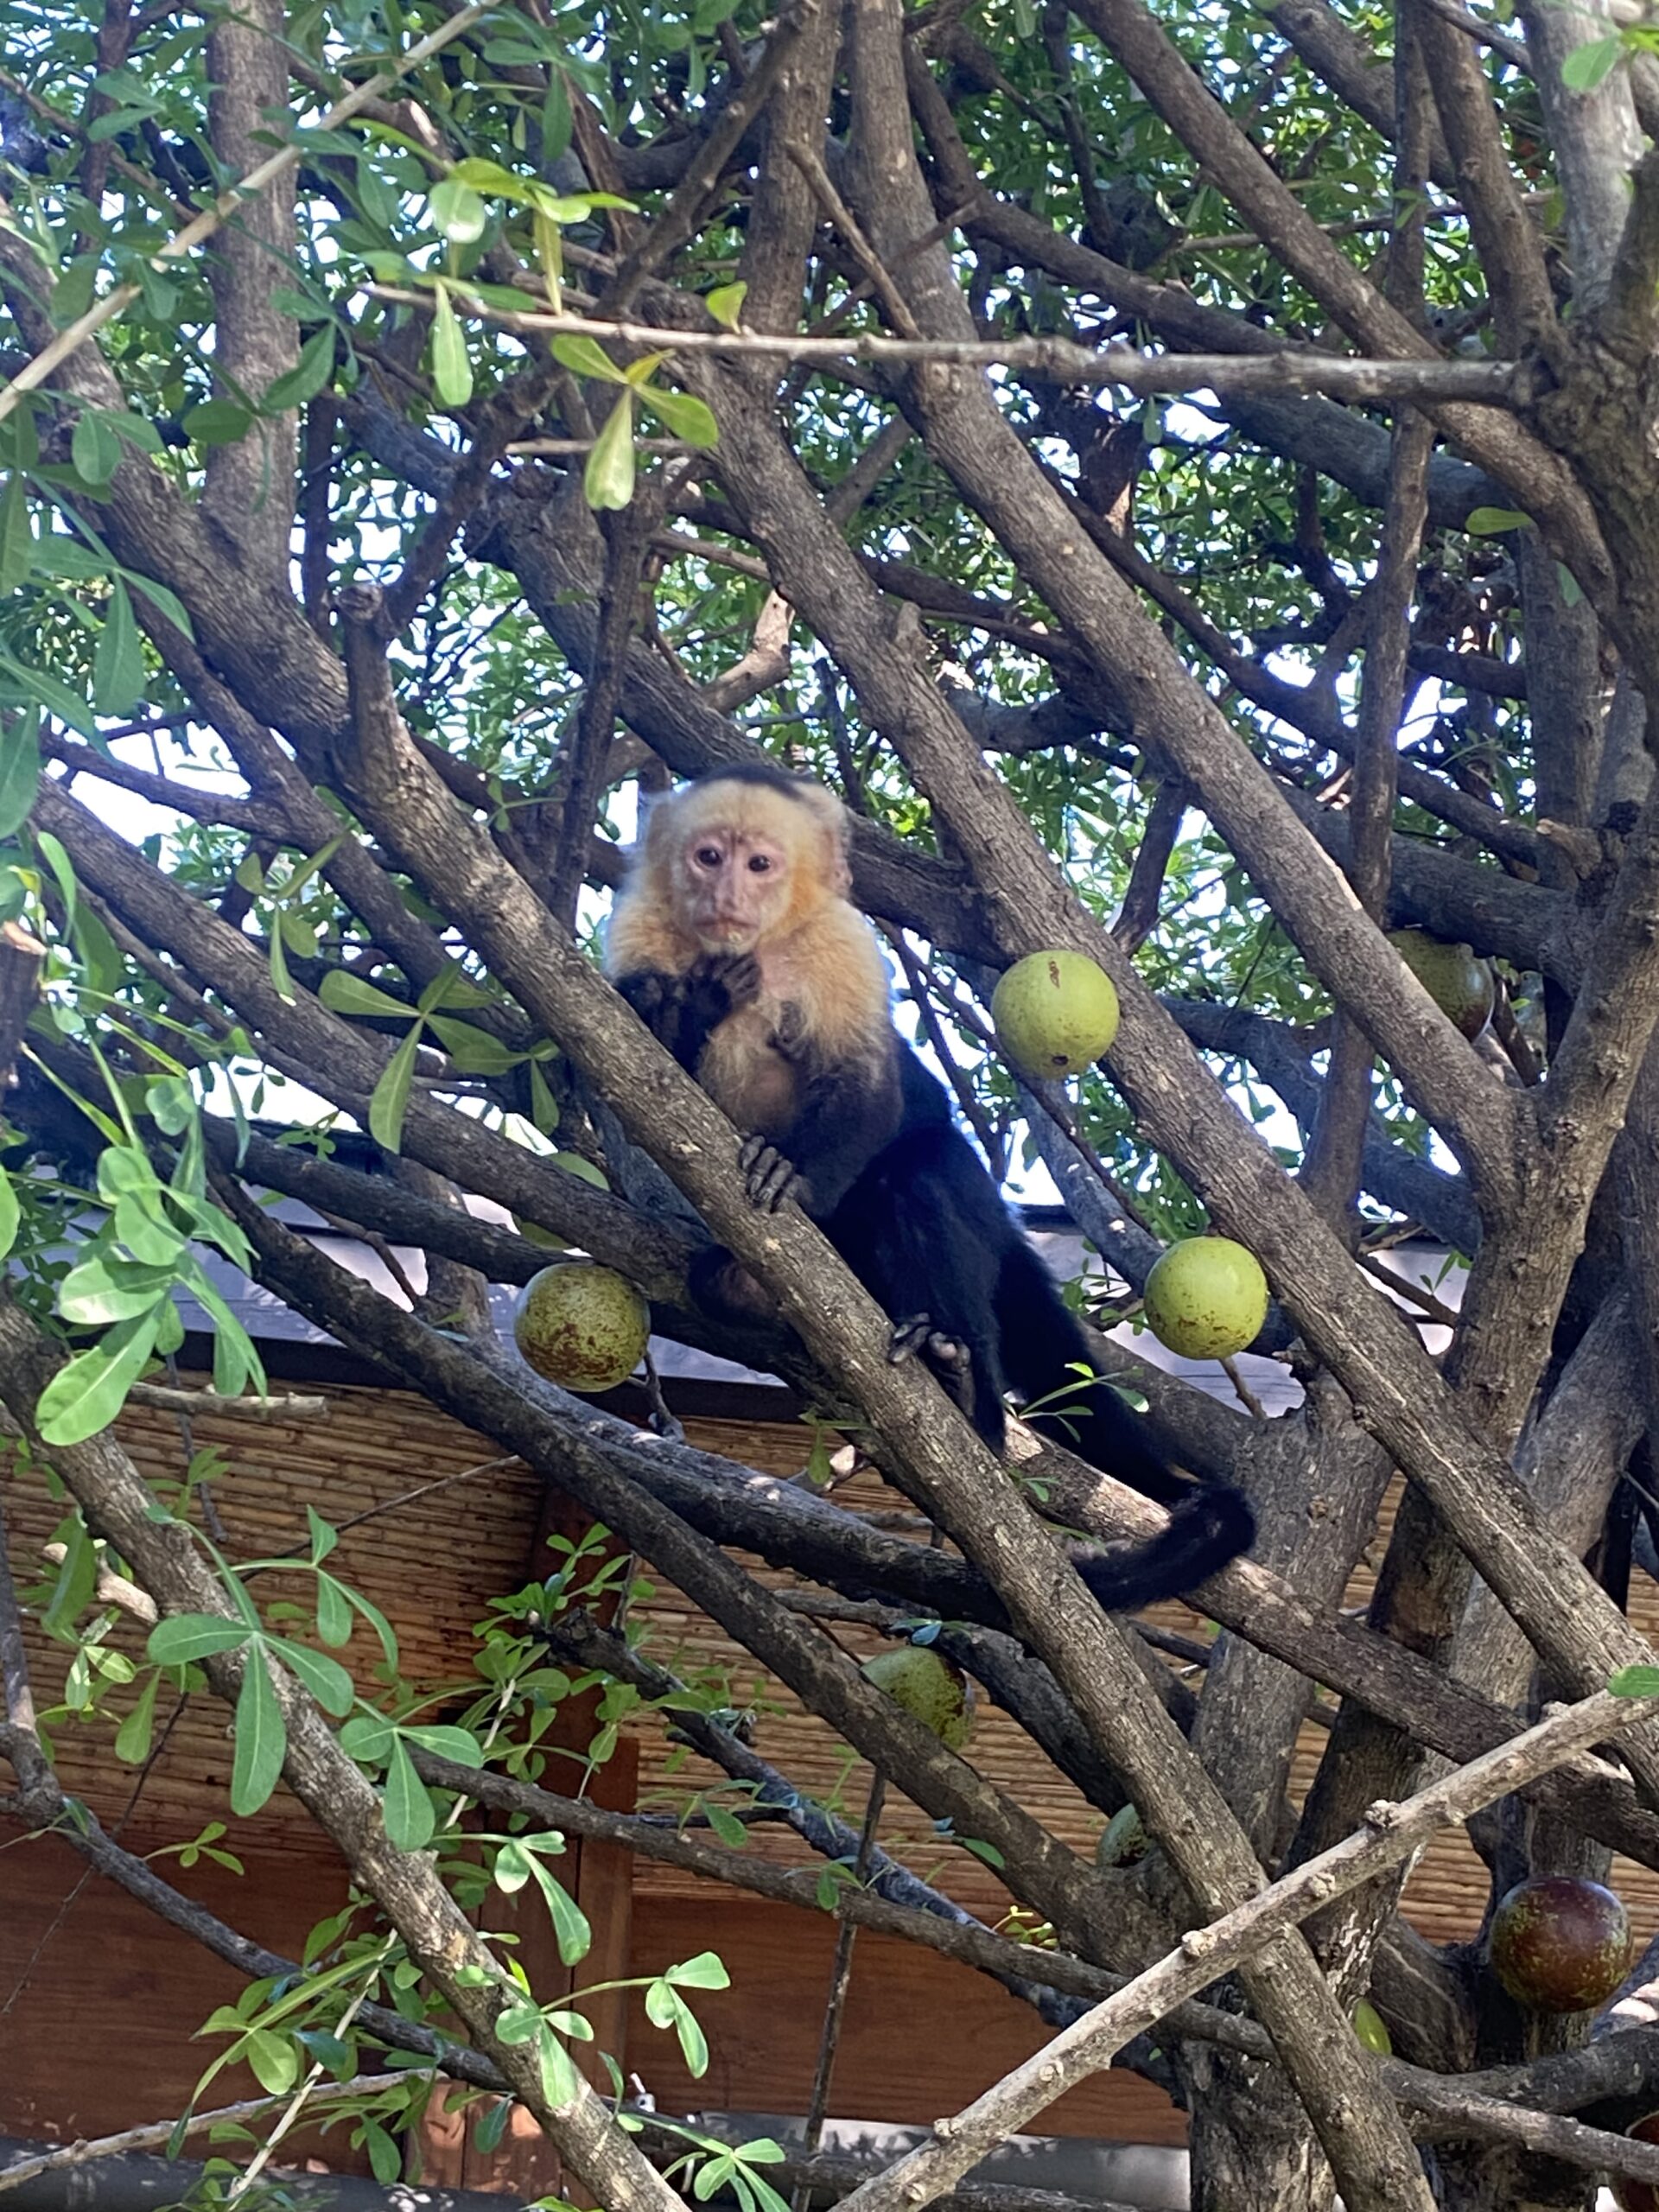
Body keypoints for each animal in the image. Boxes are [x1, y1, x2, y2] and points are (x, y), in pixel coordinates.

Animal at [610, 765, 1256, 1610]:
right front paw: (687, 1004)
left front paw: (796, 1175)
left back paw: (965, 1385)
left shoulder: (842, 946)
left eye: (760, 865)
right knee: (722, 1280)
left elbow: (869, 1088)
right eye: (708, 856)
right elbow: (636, 1068)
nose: (727, 895)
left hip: (970, 1213)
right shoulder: (639, 931)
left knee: (922, 1179)